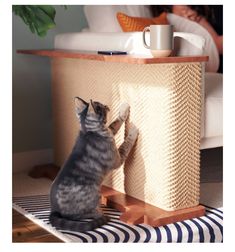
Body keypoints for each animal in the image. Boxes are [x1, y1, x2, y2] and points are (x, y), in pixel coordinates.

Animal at [49, 97, 138, 232]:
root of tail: (54, 210)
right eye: (100, 107)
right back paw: (99, 213)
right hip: (94, 194)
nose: (107, 105)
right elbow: (125, 144)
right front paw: (134, 130)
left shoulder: (110, 129)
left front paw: (124, 108)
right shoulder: (117, 159)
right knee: (79, 215)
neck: (89, 131)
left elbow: (115, 123)